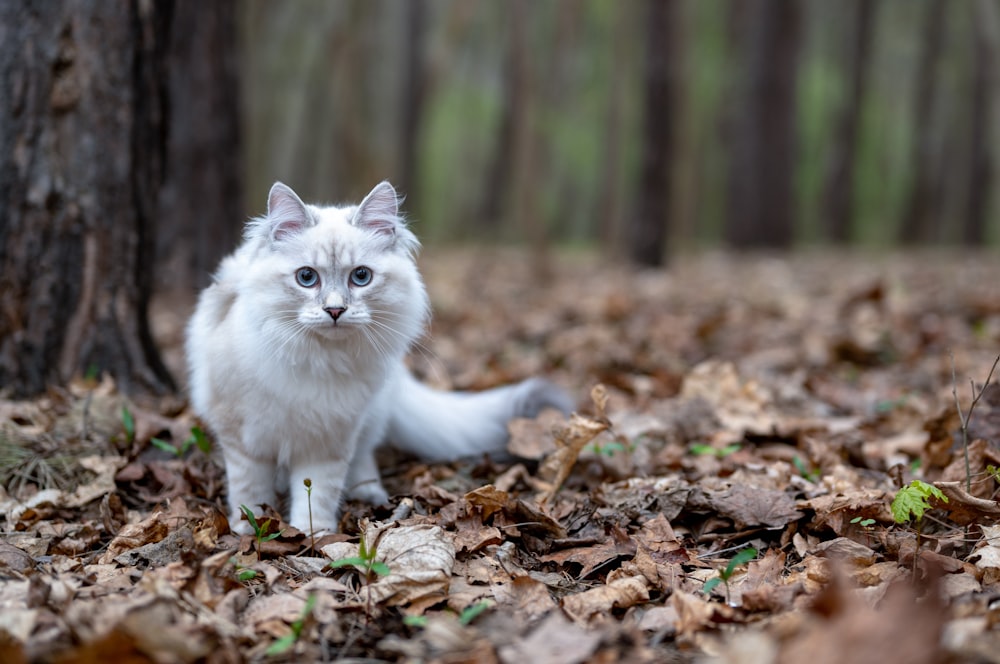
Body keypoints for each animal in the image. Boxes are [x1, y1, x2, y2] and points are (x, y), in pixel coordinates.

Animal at [186, 182, 572, 536]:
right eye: (307, 277)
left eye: (361, 276)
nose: (335, 310)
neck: (320, 360)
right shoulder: (242, 439)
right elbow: (249, 494)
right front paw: (248, 533)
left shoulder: (329, 441)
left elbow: (317, 495)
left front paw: (314, 538)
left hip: (367, 421)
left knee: (364, 460)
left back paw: (371, 495)